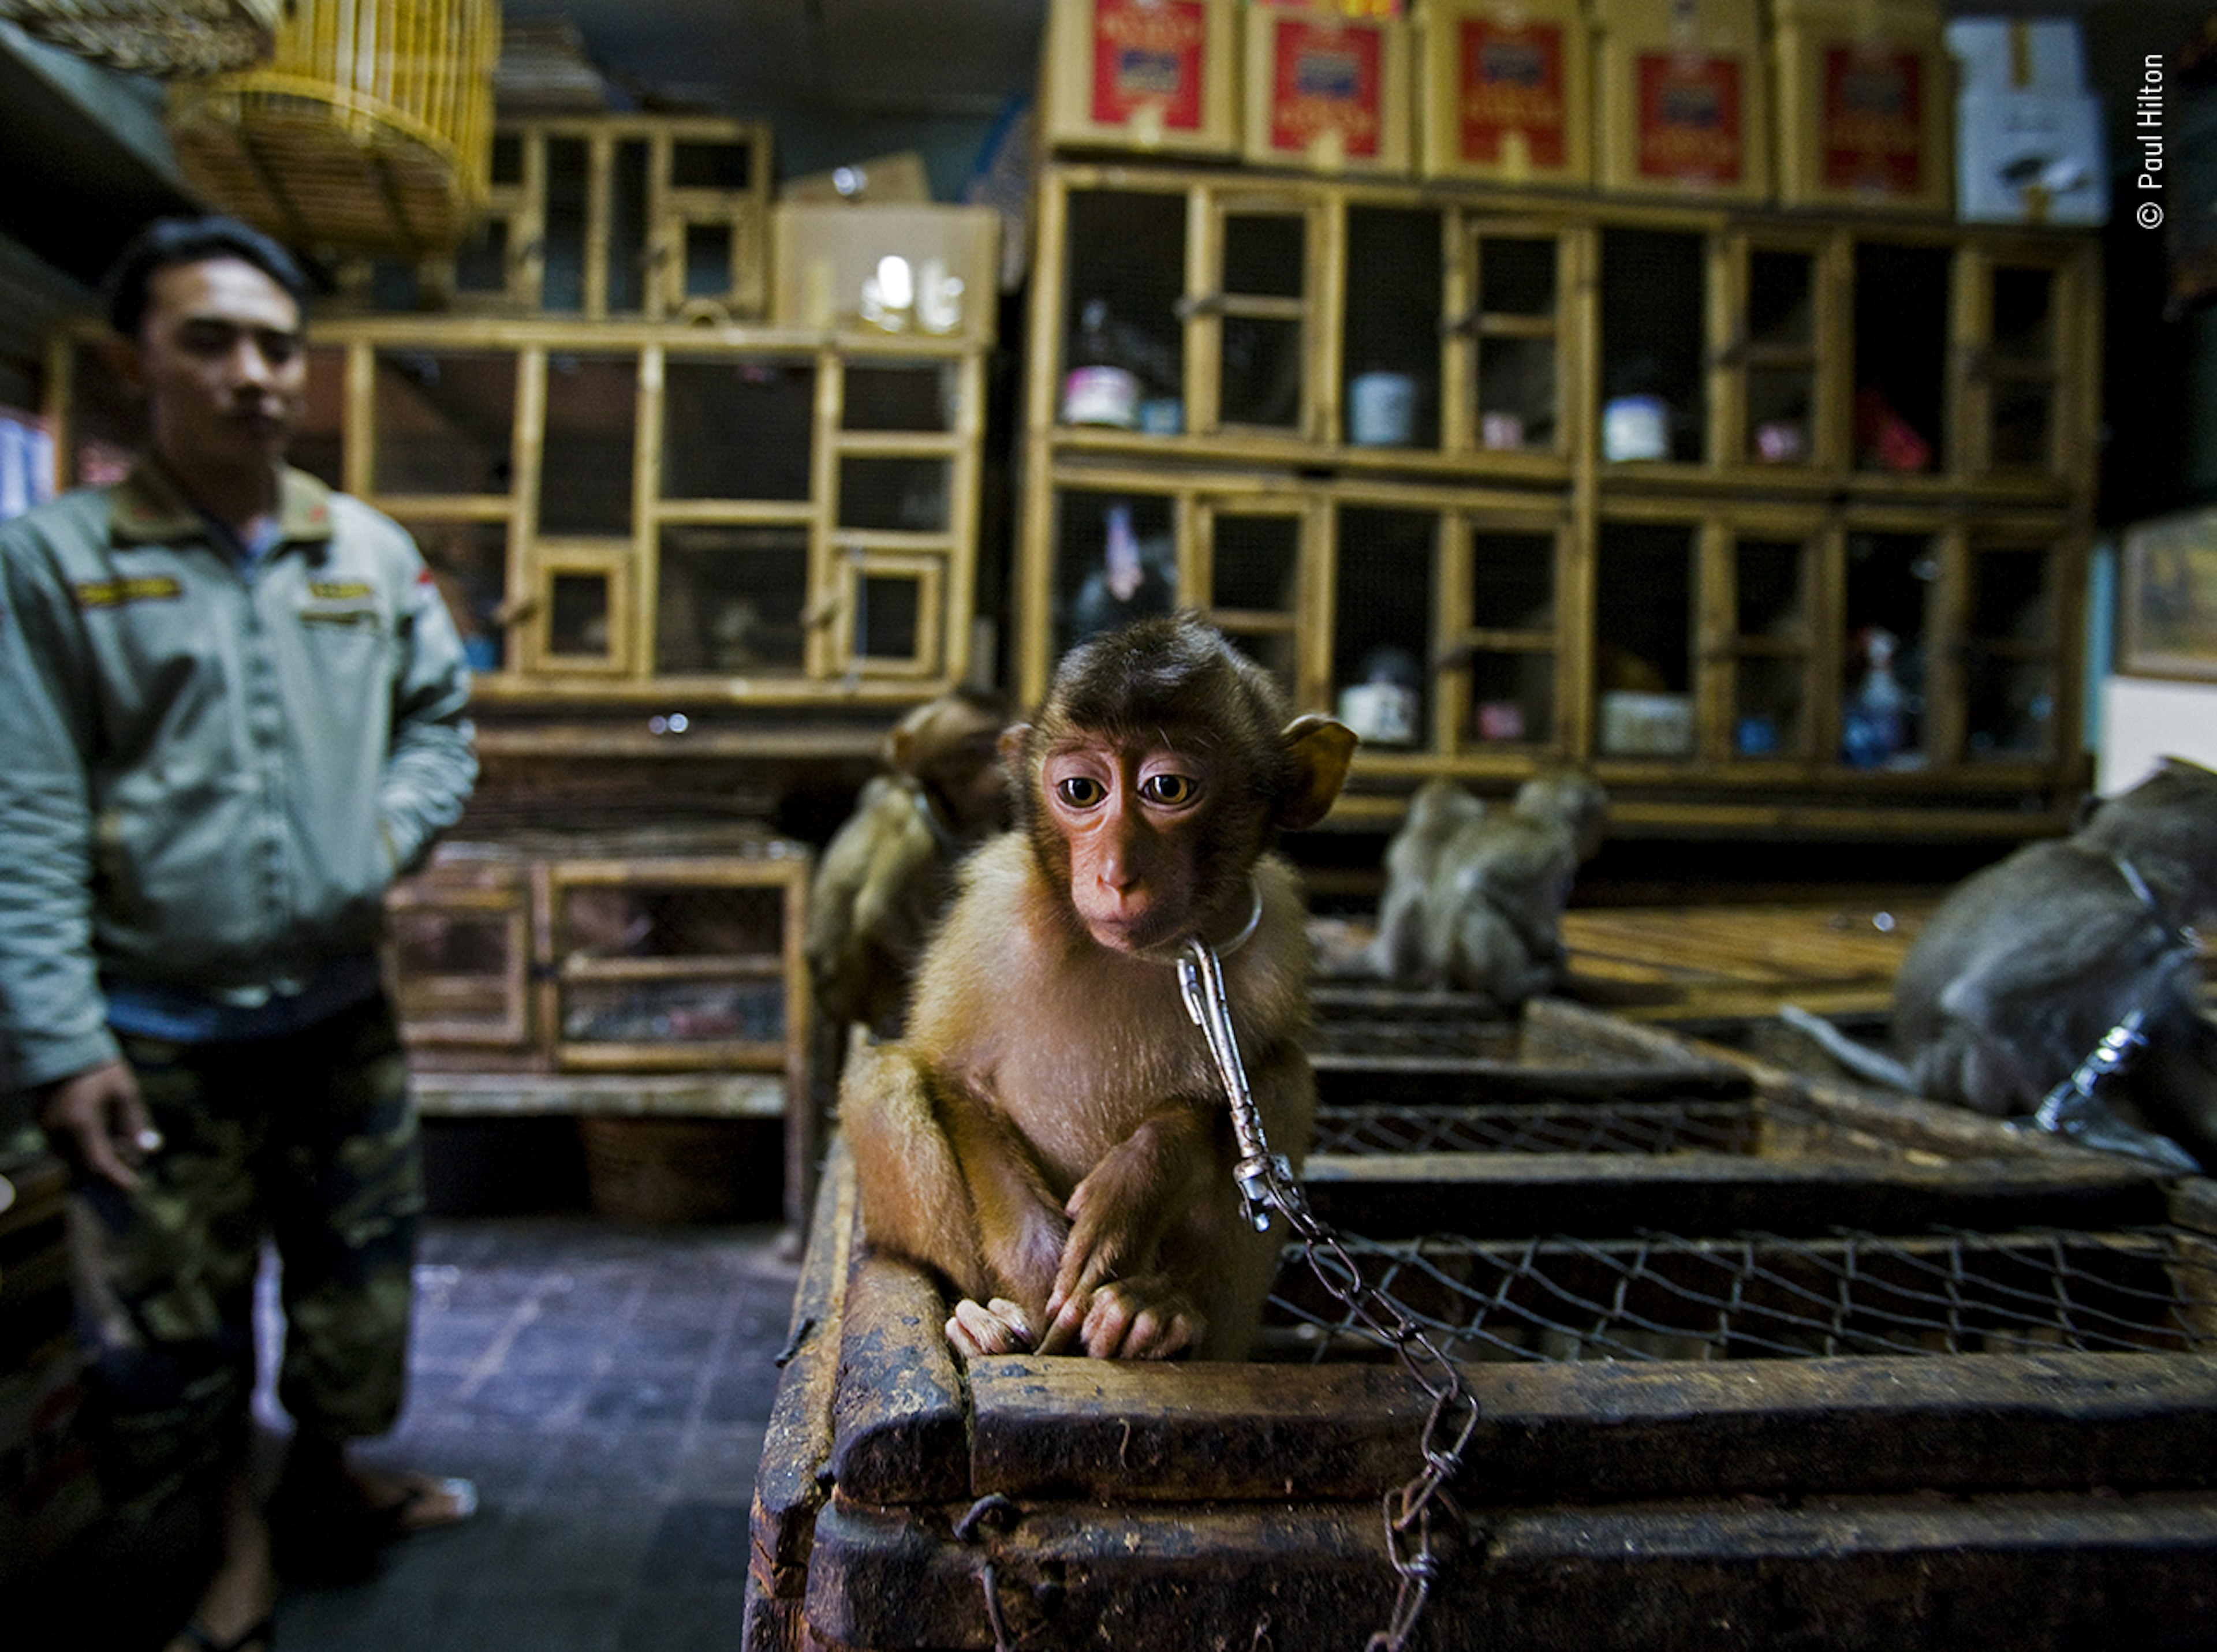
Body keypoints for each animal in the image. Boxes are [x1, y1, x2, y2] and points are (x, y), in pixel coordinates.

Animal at [803, 688, 1012, 1042]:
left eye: (997, 743)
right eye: (975, 747)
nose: (998, 770)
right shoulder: (914, 831)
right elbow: (878, 911)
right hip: (851, 990)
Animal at [840, 614, 1356, 1360]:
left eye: (1167, 788)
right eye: (1081, 792)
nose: (1115, 874)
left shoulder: (1273, 937)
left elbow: (1234, 1089)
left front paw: (1138, 1184)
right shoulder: (991, 914)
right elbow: (954, 1076)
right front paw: (1035, 1264)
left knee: (1284, 1081)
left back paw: (1157, 1316)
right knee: (883, 1078)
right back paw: (981, 1318)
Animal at [1366, 768, 1609, 1014]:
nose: (1598, 837)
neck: (1536, 821)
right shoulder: (1551, 851)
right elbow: (1480, 881)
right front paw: (1549, 947)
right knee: (1474, 906)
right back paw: (1519, 986)